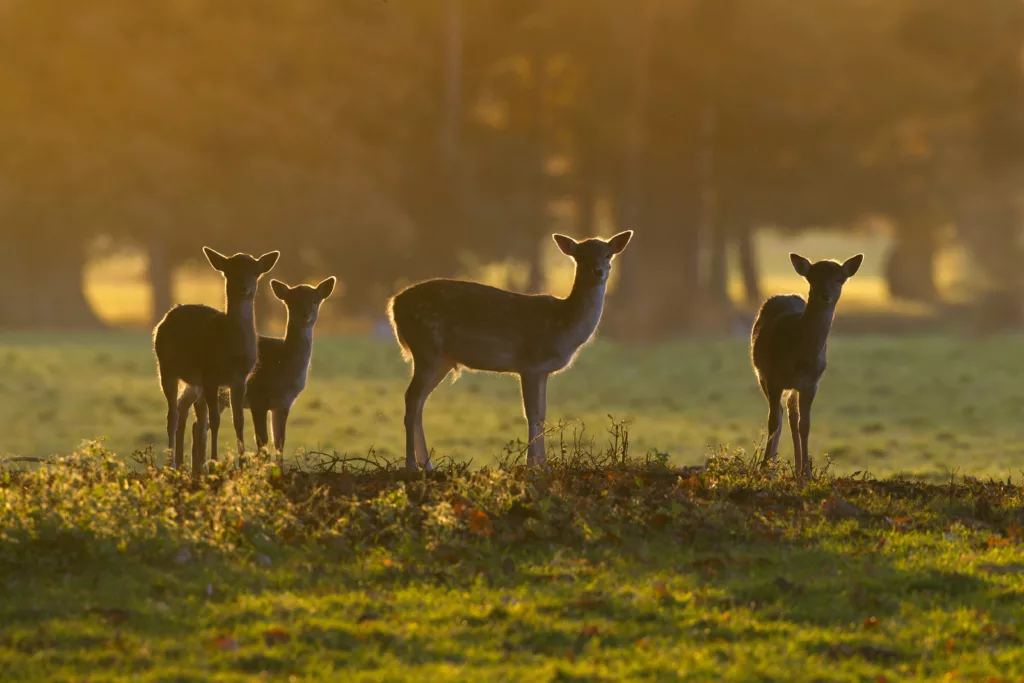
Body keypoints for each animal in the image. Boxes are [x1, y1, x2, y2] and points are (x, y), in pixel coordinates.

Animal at [151, 246, 280, 471]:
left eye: (255, 272)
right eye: (229, 271)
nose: (243, 287)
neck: (231, 351)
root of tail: (167, 316)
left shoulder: (240, 380)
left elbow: (238, 420)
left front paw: (243, 463)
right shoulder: (210, 375)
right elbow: (216, 420)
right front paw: (215, 462)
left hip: (194, 381)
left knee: (187, 412)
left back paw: (188, 466)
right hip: (166, 368)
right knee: (172, 415)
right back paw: (172, 465)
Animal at [175, 274, 335, 473]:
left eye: (315, 300)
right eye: (292, 301)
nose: (306, 315)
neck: (283, 368)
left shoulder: (284, 403)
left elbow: (280, 441)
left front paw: (278, 470)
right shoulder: (258, 398)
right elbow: (262, 439)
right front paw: (262, 470)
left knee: (196, 423)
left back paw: (197, 470)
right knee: (188, 413)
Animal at [389, 229, 630, 471]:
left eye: (608, 254)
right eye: (580, 256)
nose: (598, 271)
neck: (562, 325)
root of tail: (393, 305)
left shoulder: (542, 371)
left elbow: (542, 414)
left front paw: (544, 465)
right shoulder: (530, 363)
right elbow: (531, 414)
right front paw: (532, 465)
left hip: (442, 359)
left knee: (420, 402)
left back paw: (427, 465)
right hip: (426, 348)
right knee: (412, 398)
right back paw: (411, 465)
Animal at [749, 250, 860, 481]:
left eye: (840, 279)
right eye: (813, 278)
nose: (825, 294)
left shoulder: (811, 383)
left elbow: (805, 425)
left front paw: (807, 474)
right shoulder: (772, 378)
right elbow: (773, 422)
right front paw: (765, 469)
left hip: (793, 387)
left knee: (792, 416)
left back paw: (798, 468)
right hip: (761, 375)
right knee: (779, 415)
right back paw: (772, 465)